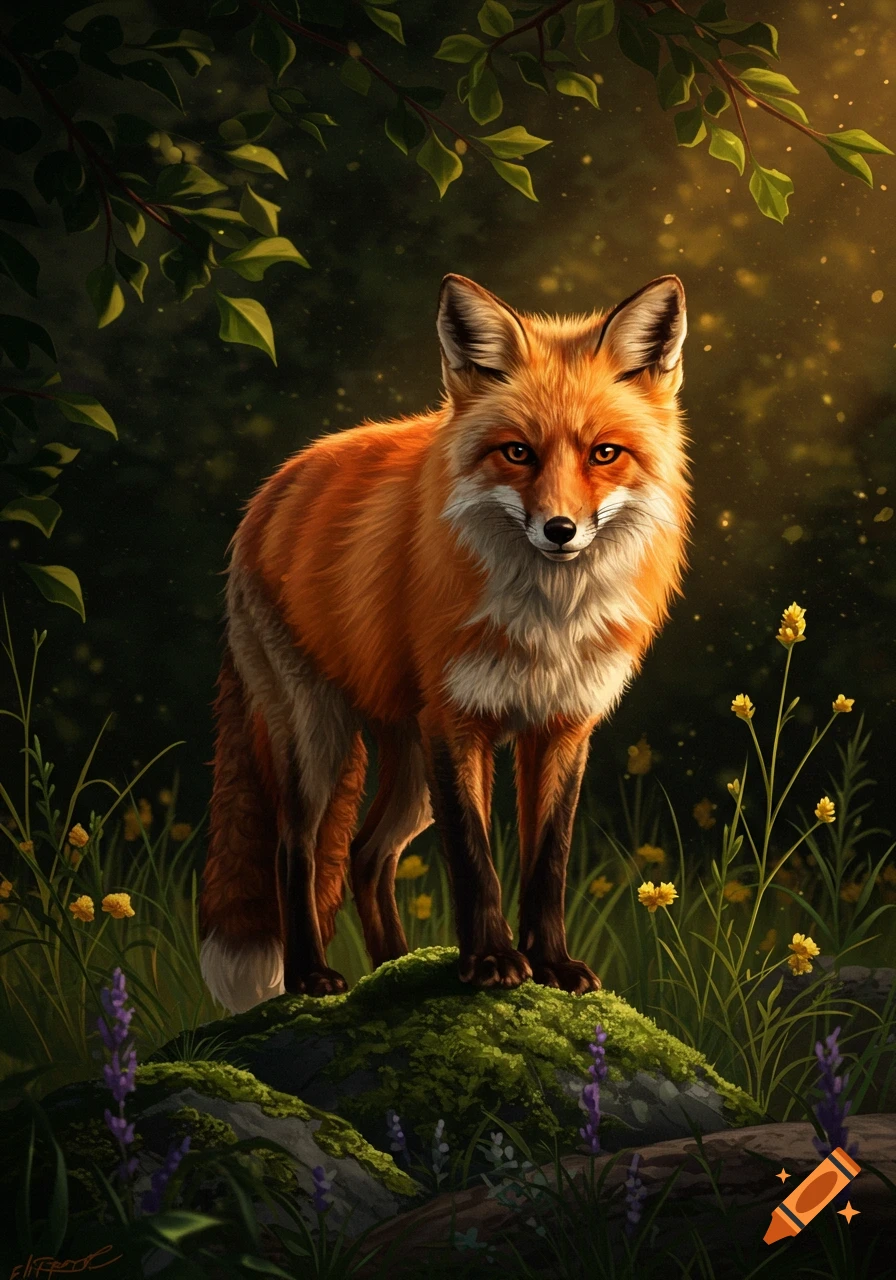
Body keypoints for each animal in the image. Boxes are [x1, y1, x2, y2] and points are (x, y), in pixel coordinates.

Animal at [198, 272, 692, 1014]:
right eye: (517, 451)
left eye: (604, 453)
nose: (560, 530)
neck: (545, 622)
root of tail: (273, 486)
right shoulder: (458, 724)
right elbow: (475, 859)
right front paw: (491, 960)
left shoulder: (563, 727)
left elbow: (548, 862)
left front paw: (550, 963)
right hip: (318, 737)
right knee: (298, 848)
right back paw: (313, 975)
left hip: (409, 763)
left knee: (368, 854)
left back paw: (393, 967)